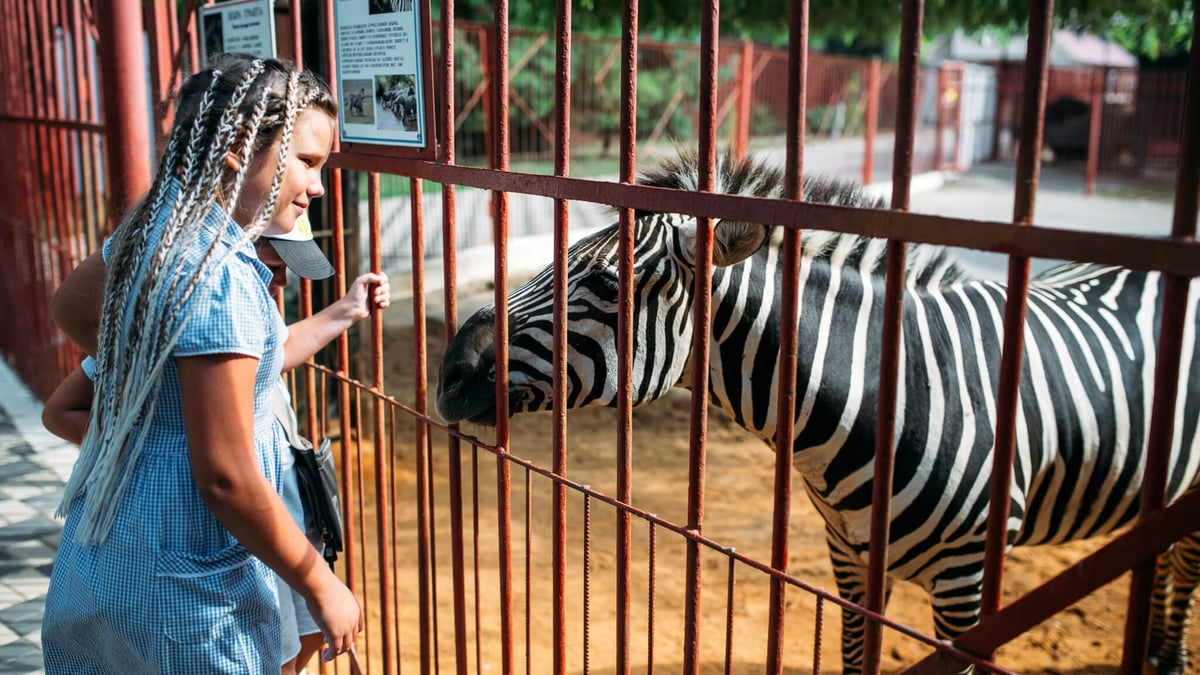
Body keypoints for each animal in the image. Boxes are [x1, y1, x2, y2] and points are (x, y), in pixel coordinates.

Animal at [434, 149, 1200, 667]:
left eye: (605, 283)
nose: (447, 373)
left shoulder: (967, 585)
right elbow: (856, 655)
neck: (886, 399)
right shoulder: (850, 557)